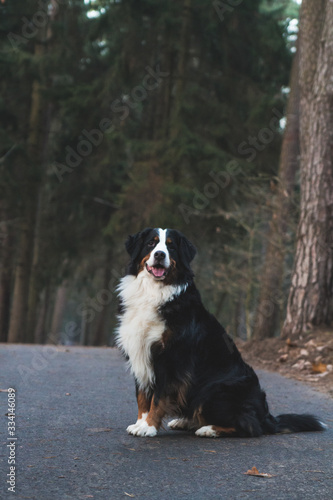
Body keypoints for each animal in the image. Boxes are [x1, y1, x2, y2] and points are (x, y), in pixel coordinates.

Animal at [115, 227, 326, 438]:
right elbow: (142, 396)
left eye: (171, 246)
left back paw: (208, 429)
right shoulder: (139, 351)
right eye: (151, 243)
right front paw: (140, 423)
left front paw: (149, 427)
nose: (160, 254)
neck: (154, 291)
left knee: (250, 426)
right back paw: (186, 421)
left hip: (213, 390)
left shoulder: (170, 359)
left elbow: (158, 398)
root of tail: (266, 417)